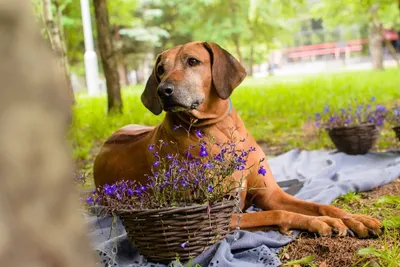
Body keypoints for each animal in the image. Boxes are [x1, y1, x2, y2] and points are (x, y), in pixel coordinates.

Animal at [93, 42, 382, 239]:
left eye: (193, 61)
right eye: (161, 70)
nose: (163, 91)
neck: (219, 127)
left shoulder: (270, 193)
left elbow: (319, 205)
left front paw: (355, 219)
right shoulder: (223, 213)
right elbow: (278, 213)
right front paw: (322, 223)